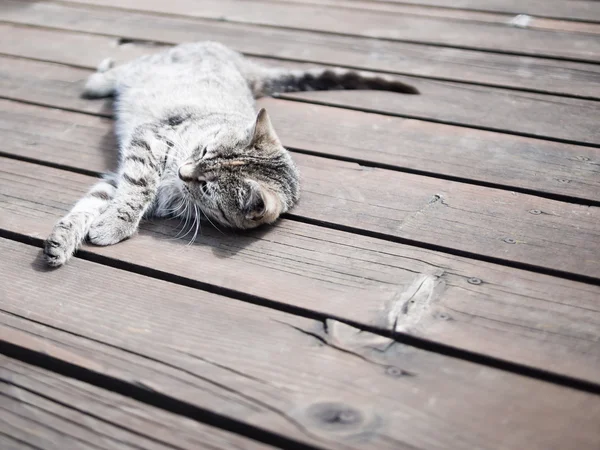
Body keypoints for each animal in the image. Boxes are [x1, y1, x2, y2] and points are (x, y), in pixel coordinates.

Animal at [42, 41, 418, 268]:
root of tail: (240, 62)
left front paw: (91, 230)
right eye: (204, 149)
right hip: (146, 68)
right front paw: (93, 228)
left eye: (208, 188)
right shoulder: (149, 142)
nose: (182, 172)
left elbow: (105, 200)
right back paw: (101, 75)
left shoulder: (131, 170)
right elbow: (131, 192)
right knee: (118, 70)